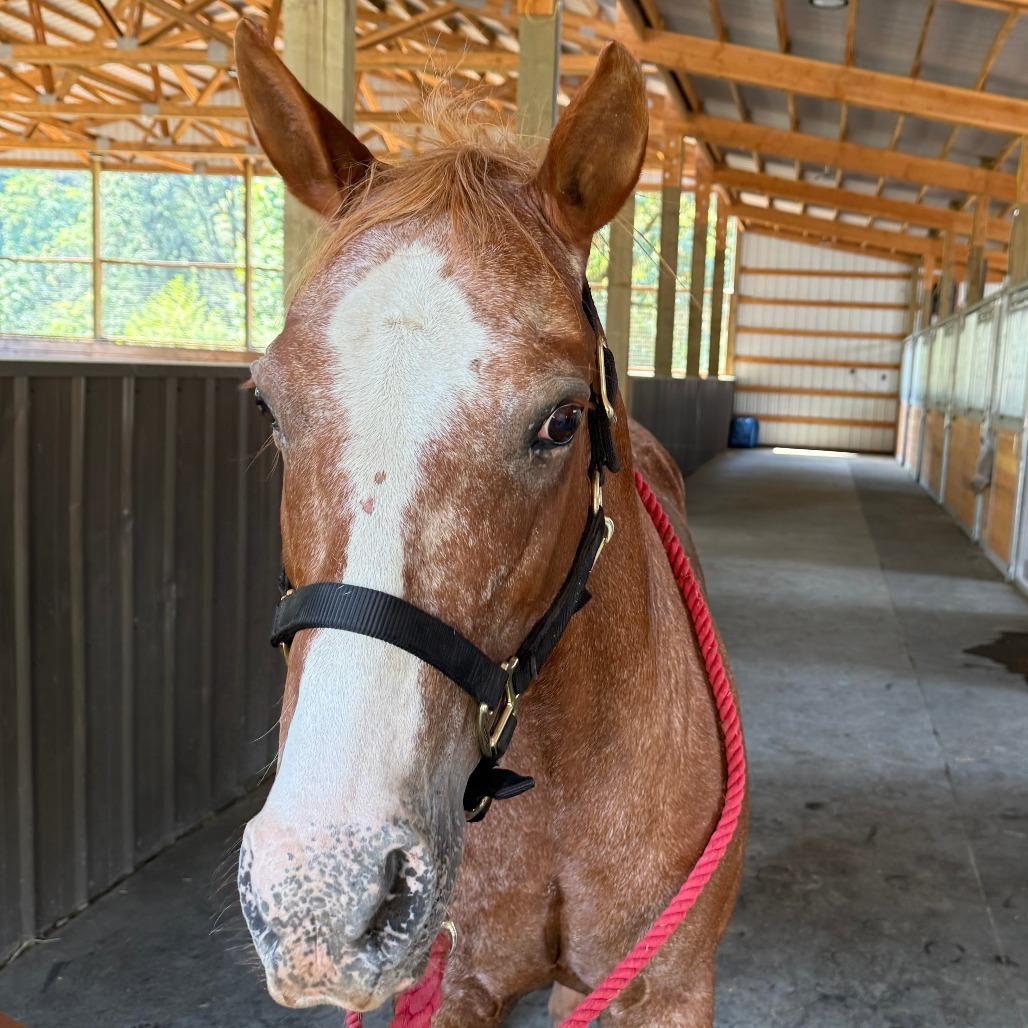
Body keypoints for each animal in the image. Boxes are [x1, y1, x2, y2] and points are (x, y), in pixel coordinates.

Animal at [233, 19, 747, 1027]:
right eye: (268, 405)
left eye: (561, 420)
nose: (323, 896)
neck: (560, 793)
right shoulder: (461, 985)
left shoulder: (665, 990)